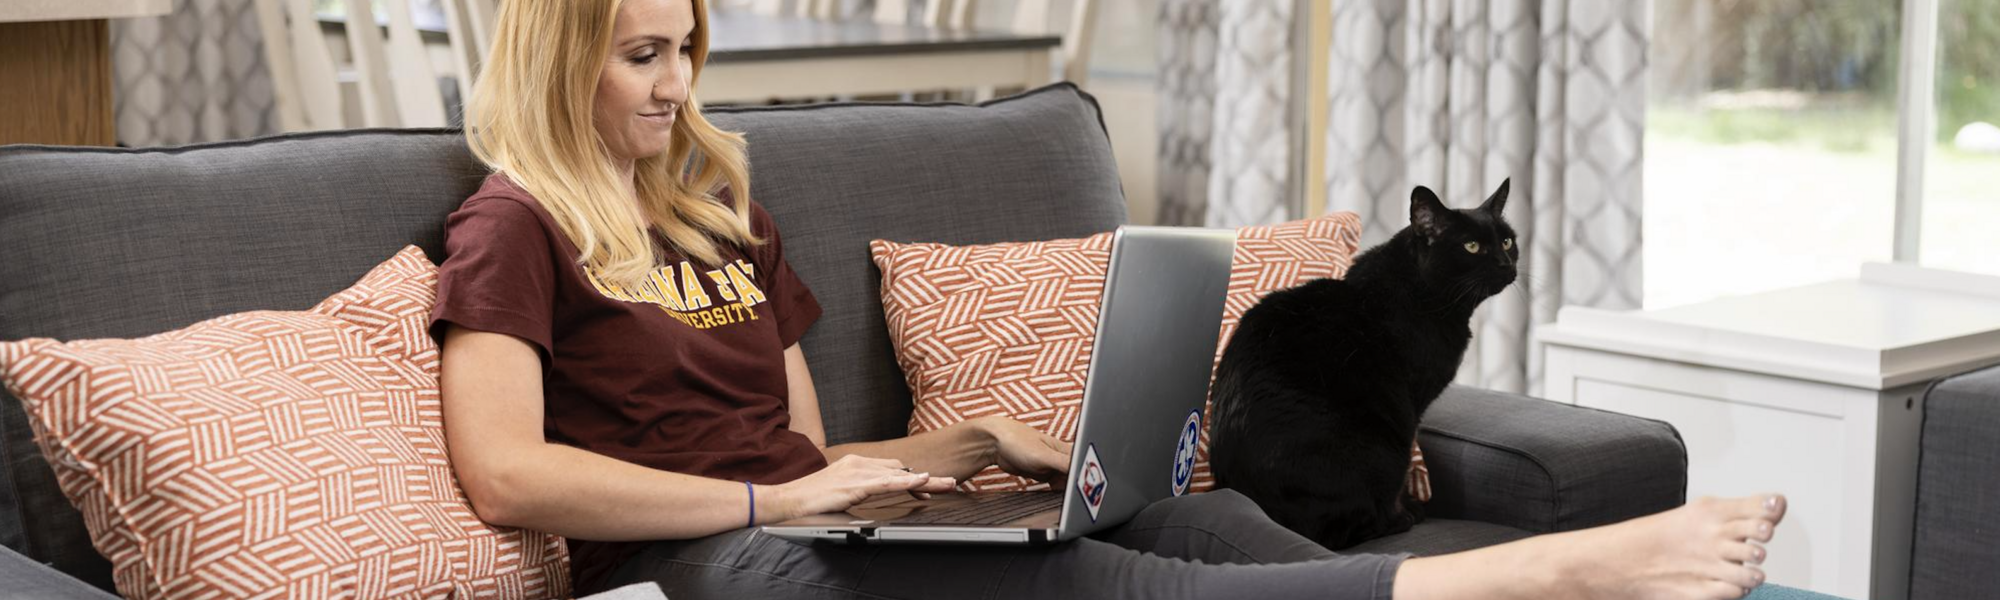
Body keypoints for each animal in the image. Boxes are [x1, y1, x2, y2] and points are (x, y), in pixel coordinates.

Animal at [1200, 178, 1512, 548]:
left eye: (1507, 241)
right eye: (1472, 246)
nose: (1507, 264)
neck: (1422, 292)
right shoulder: (1413, 404)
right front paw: (1405, 508)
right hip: (1383, 447)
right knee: (1344, 530)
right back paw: (1400, 519)